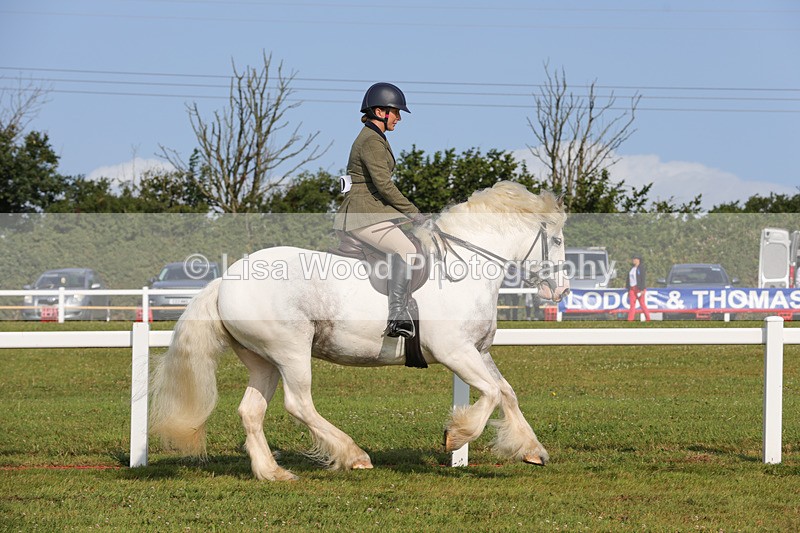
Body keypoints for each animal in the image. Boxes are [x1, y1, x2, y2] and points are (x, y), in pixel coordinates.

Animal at [149, 181, 569, 480]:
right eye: (558, 240)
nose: (561, 292)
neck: (465, 267)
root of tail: (225, 279)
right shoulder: (456, 352)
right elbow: (493, 394)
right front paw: (457, 434)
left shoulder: (478, 351)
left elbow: (507, 393)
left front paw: (531, 449)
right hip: (290, 350)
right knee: (299, 404)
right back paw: (354, 456)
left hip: (263, 361)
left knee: (252, 411)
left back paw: (273, 472)